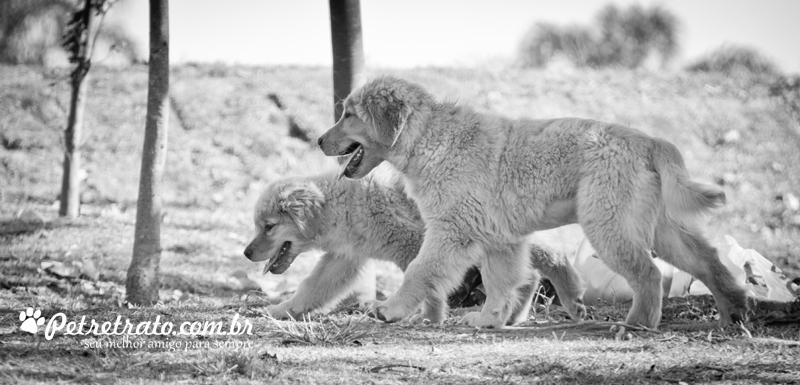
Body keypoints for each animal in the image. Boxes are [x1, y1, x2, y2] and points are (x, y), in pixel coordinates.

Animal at [241, 172, 584, 322]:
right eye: (258, 225)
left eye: (268, 227)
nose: (246, 253)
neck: (342, 207)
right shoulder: (344, 257)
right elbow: (311, 289)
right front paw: (281, 310)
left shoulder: (413, 244)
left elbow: (424, 281)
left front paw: (428, 318)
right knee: (528, 275)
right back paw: (513, 315)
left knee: (552, 256)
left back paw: (571, 296)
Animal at [316, 76, 748, 328]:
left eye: (349, 115)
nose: (319, 141)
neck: (428, 139)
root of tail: (649, 141)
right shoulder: (499, 239)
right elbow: (502, 281)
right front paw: (490, 320)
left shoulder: (451, 231)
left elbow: (421, 271)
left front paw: (390, 310)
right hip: (657, 226)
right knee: (707, 261)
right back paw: (733, 312)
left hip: (608, 224)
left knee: (649, 274)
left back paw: (635, 325)